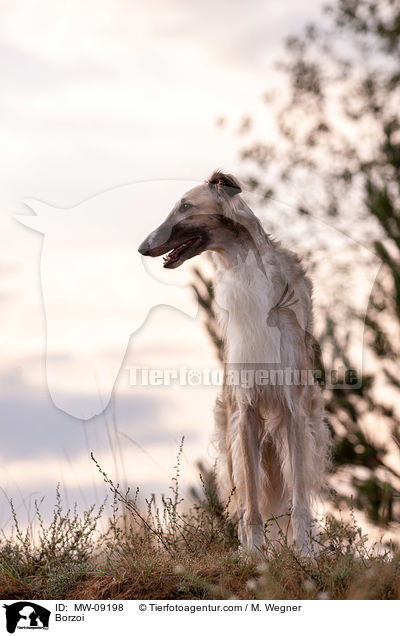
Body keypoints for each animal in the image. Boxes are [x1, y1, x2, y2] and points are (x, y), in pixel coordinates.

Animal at [139, 171, 330, 556]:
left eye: (185, 205)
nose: (142, 247)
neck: (244, 268)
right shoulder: (246, 409)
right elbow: (251, 504)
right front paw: (254, 553)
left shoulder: (293, 410)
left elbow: (300, 498)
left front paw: (304, 550)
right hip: (231, 436)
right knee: (244, 495)